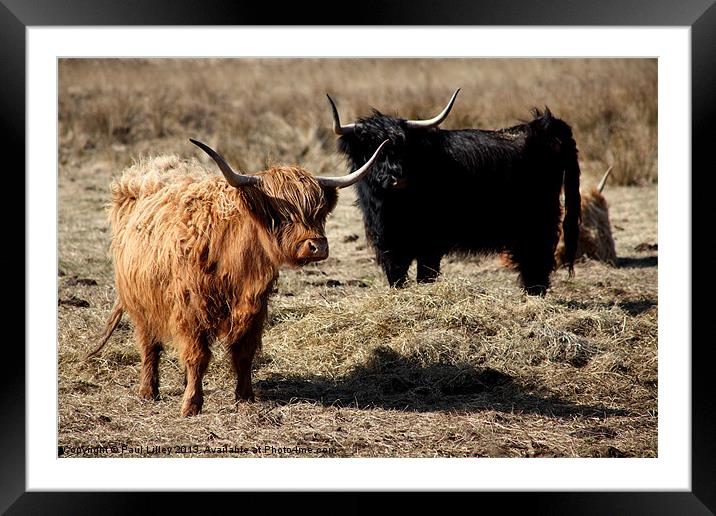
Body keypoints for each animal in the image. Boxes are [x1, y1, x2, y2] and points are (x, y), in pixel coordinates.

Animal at [90, 137, 392, 416]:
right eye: (282, 213)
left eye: (318, 211)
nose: (317, 246)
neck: (236, 264)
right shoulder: (190, 311)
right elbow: (197, 357)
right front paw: (191, 405)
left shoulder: (254, 308)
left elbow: (243, 354)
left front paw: (245, 397)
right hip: (140, 302)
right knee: (149, 346)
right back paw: (148, 391)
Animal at [330, 90, 580, 296]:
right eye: (371, 147)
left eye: (402, 146)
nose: (396, 179)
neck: (391, 207)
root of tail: (546, 125)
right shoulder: (389, 244)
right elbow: (397, 276)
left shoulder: (430, 242)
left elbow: (426, 275)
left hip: (539, 221)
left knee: (538, 260)